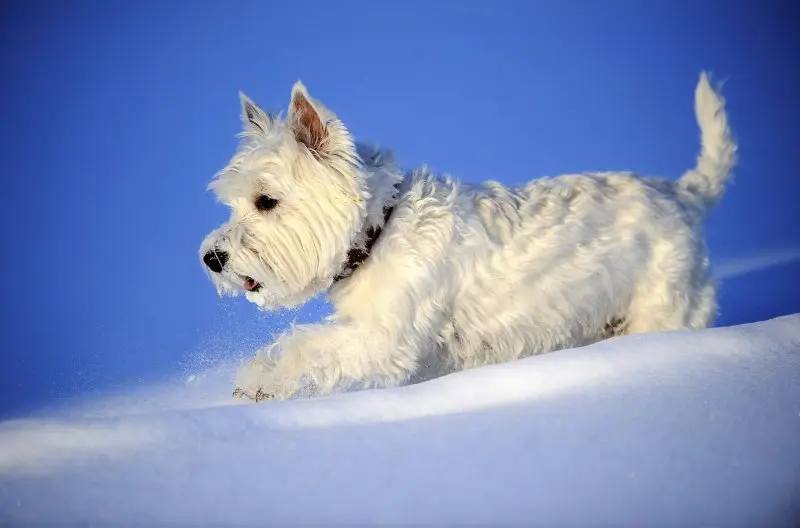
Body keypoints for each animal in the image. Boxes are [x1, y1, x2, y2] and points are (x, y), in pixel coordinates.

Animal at [200, 72, 736, 402]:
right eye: (232, 203)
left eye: (265, 201)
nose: (211, 258)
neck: (379, 230)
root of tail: (685, 194)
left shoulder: (385, 337)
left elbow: (305, 344)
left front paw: (258, 381)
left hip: (664, 307)